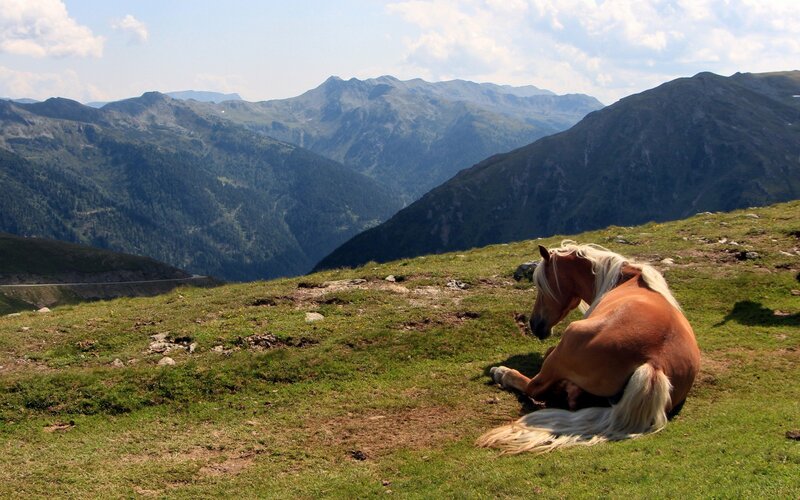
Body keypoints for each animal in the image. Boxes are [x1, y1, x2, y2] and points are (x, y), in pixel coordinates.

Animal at [476, 241, 700, 454]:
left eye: (541, 285)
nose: (534, 324)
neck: (623, 279)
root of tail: (653, 363)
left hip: (568, 339)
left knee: (535, 387)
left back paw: (502, 373)